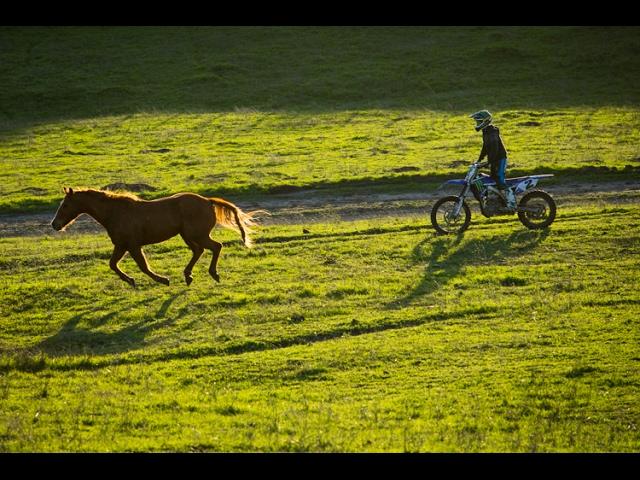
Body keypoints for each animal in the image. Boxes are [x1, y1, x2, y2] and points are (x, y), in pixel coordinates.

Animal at [50, 187, 268, 284]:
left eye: (66, 205)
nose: (55, 225)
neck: (115, 212)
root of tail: (207, 201)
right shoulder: (121, 245)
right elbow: (112, 264)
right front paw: (130, 280)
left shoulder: (132, 245)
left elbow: (143, 266)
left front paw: (162, 279)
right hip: (187, 235)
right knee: (199, 251)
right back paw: (188, 275)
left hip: (197, 234)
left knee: (215, 247)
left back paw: (213, 274)